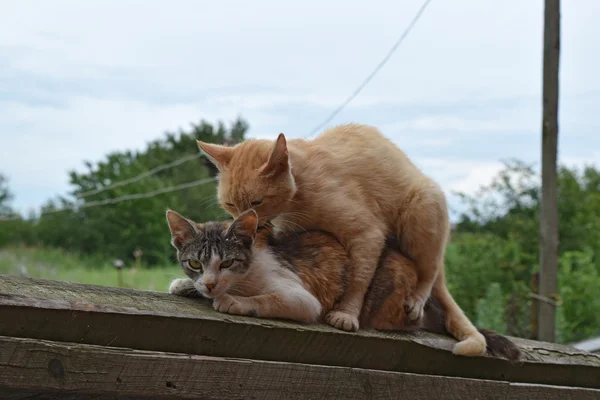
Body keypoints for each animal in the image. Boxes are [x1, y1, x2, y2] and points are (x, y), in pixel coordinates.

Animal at [164, 209, 520, 362]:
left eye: (226, 263)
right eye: (195, 263)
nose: (210, 284)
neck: (249, 269)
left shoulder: (302, 297)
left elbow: (269, 299)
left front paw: (234, 301)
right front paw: (185, 285)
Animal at [197, 124, 488, 356]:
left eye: (257, 202)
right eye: (230, 204)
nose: (245, 217)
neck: (298, 198)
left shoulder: (367, 233)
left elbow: (360, 278)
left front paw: (347, 313)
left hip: (422, 209)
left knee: (431, 270)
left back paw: (417, 298)